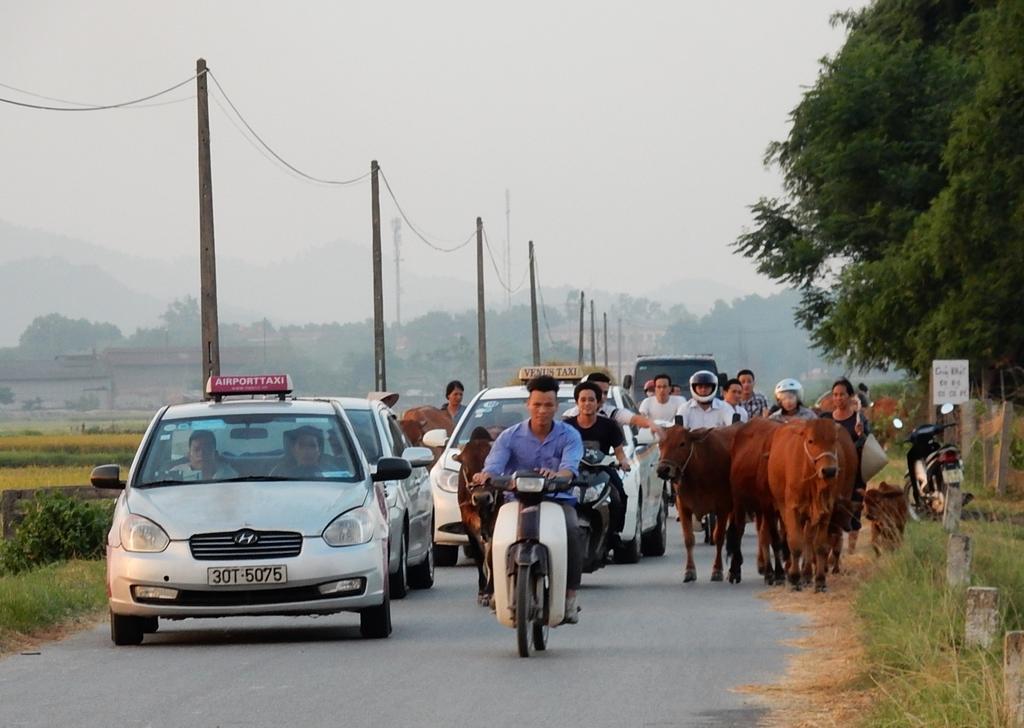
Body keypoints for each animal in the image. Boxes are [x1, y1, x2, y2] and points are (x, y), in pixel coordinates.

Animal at [454, 427, 501, 610]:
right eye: (466, 466)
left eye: (489, 462)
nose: (481, 497)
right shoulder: (468, 524)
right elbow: (479, 557)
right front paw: (482, 592)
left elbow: (490, 557)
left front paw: (490, 592)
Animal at [659, 421, 741, 581]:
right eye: (660, 443)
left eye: (682, 443)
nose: (663, 469)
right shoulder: (683, 506)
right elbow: (689, 539)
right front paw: (689, 571)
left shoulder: (722, 507)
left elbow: (718, 537)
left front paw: (717, 570)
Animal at [770, 421, 856, 593]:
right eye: (811, 441)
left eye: (834, 440)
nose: (829, 470)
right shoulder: (792, 510)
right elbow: (795, 544)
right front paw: (794, 578)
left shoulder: (826, 511)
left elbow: (821, 546)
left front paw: (820, 580)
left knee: (809, 540)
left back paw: (808, 573)